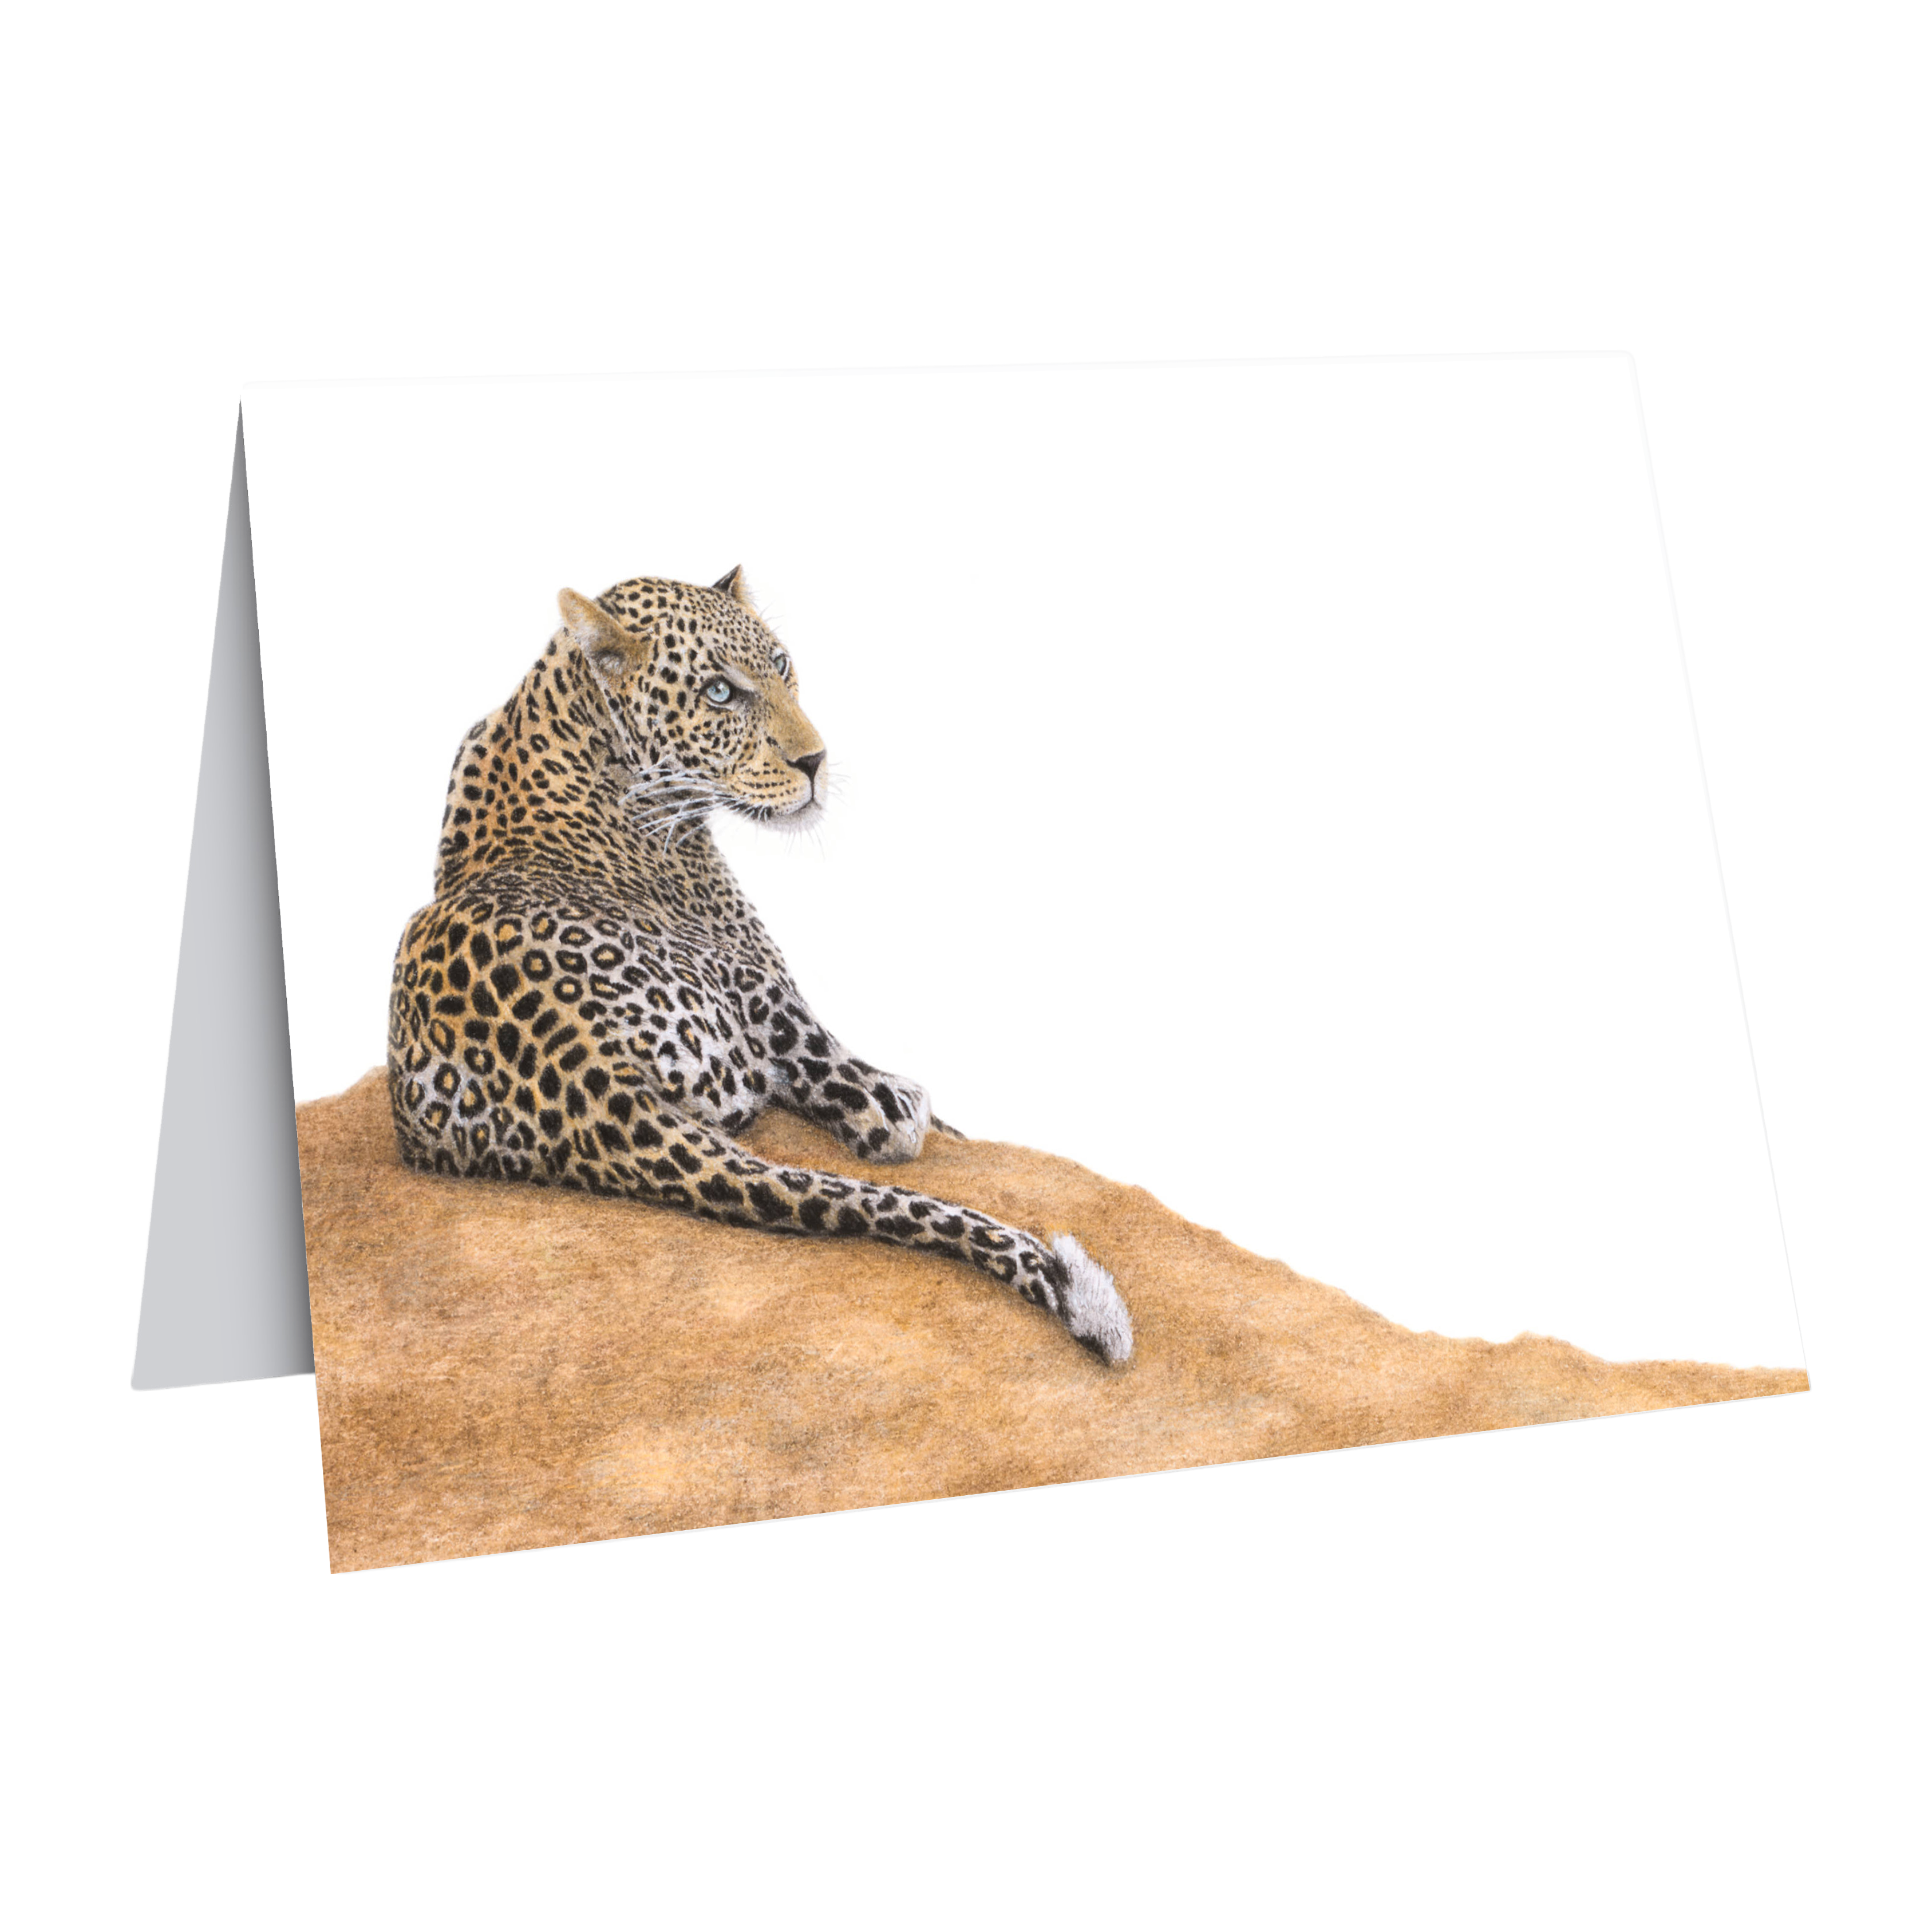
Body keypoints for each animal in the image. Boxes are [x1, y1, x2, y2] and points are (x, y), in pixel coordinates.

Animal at [386, 567, 1134, 1363]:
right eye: (720, 692)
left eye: (781, 667)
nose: (815, 762)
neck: (555, 717)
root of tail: (587, 1080)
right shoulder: (762, 972)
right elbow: (849, 1079)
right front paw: (908, 1107)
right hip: (743, 1002)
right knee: (846, 1099)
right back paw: (901, 1105)